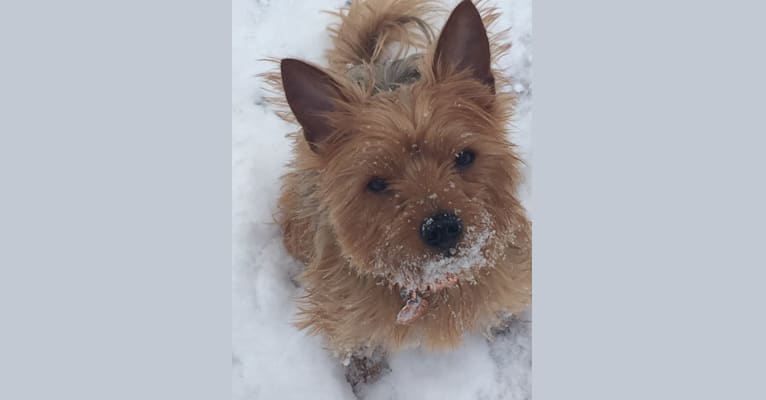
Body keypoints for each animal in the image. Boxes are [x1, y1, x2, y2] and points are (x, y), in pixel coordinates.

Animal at [264, 0, 528, 390]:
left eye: (464, 156)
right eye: (376, 183)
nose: (442, 228)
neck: (431, 285)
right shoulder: (344, 314)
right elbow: (356, 344)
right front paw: (364, 376)